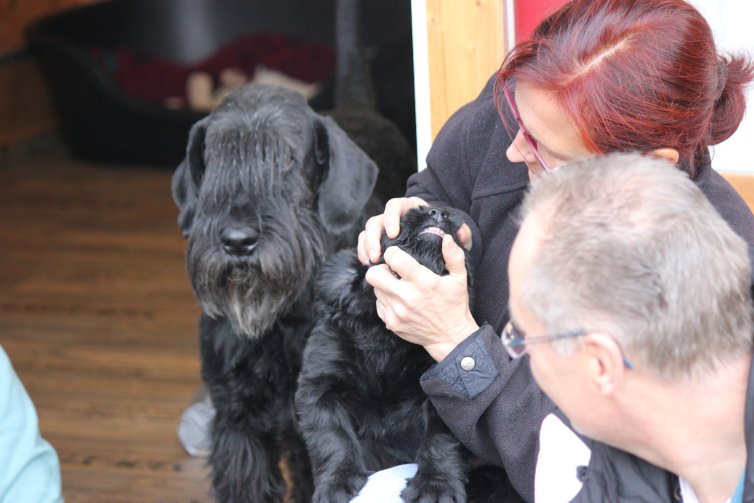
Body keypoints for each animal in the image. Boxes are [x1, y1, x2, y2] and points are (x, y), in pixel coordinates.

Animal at [294, 206, 470, 503]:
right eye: (400, 218)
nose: (437, 211)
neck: (388, 336)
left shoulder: (443, 389)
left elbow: (439, 438)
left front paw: (435, 485)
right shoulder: (320, 386)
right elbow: (332, 435)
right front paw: (337, 481)